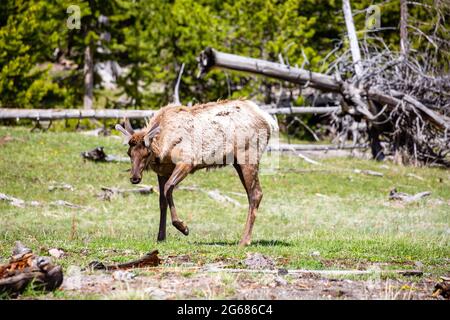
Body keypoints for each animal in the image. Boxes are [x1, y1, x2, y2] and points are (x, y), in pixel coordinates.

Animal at [115, 99, 278, 246]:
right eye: (129, 153)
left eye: (146, 153)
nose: (134, 178)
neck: (162, 148)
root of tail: (269, 121)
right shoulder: (163, 172)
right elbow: (162, 201)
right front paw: (161, 238)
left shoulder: (187, 162)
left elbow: (168, 188)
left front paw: (183, 227)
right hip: (237, 161)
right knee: (252, 194)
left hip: (248, 155)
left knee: (256, 193)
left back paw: (244, 241)